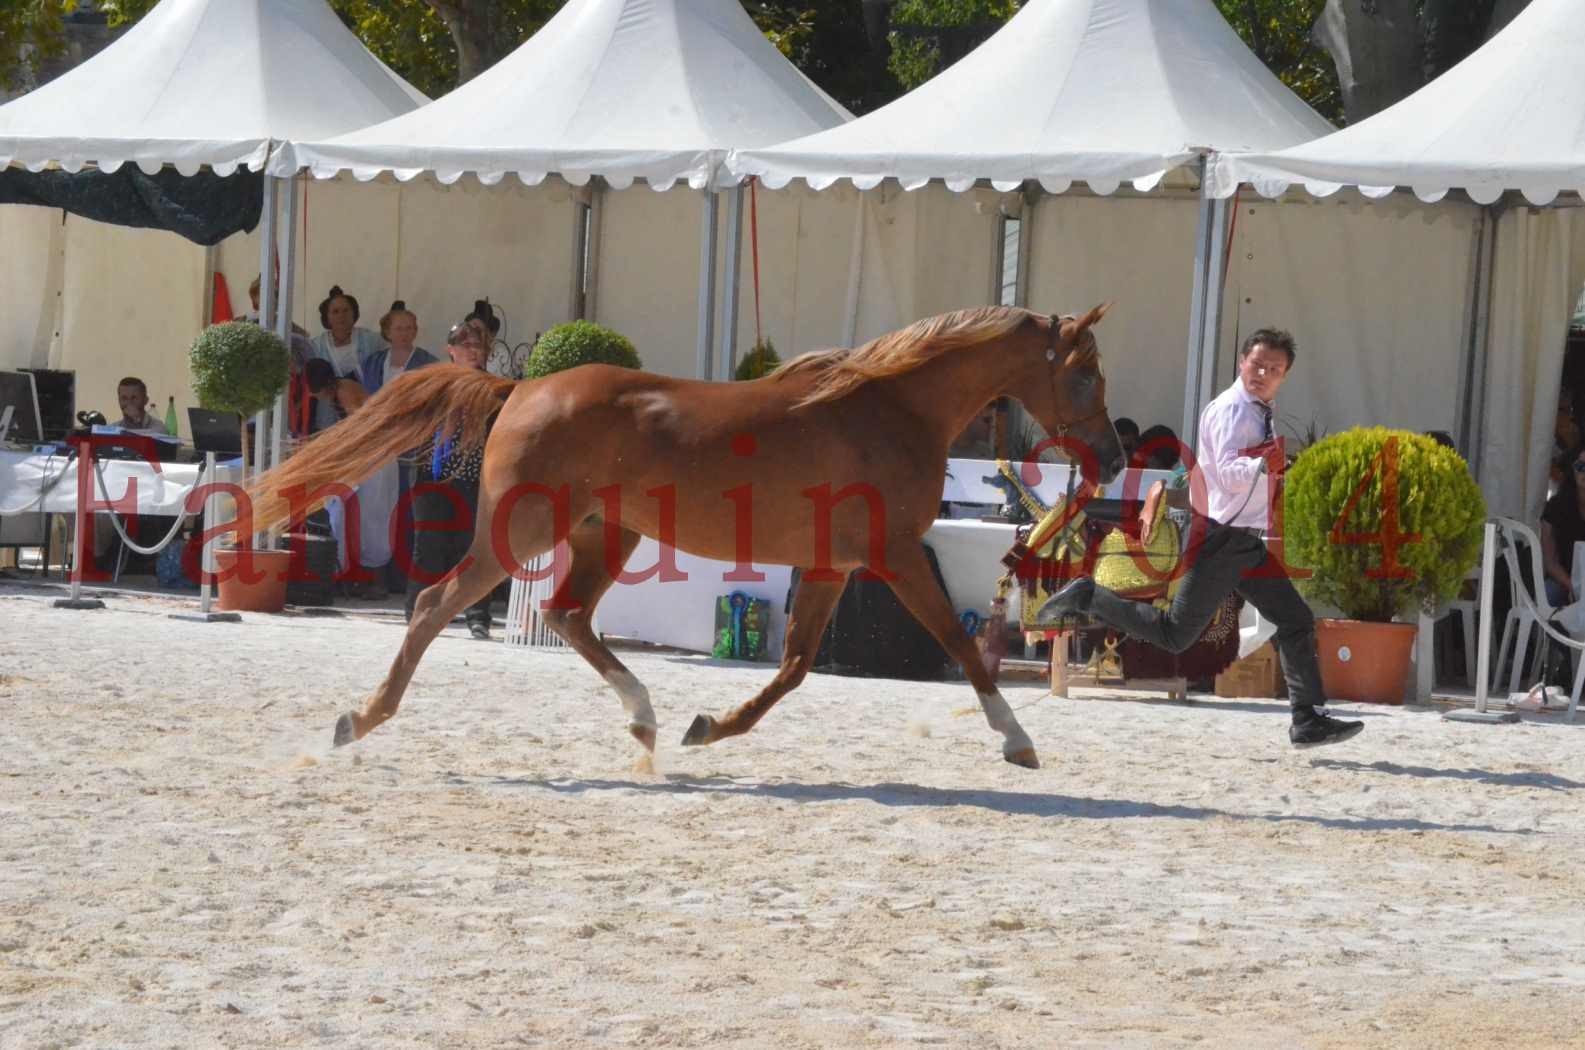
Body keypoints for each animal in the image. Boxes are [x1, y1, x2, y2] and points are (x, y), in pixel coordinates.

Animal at [240, 304, 1122, 774]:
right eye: (1083, 375)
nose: (1113, 458)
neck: (890, 410)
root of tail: (519, 386)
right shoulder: (895, 555)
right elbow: (961, 645)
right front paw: (1017, 741)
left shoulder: (831, 564)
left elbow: (793, 668)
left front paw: (709, 727)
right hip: (524, 529)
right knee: (433, 603)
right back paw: (360, 719)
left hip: (607, 536)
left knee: (566, 616)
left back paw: (647, 720)